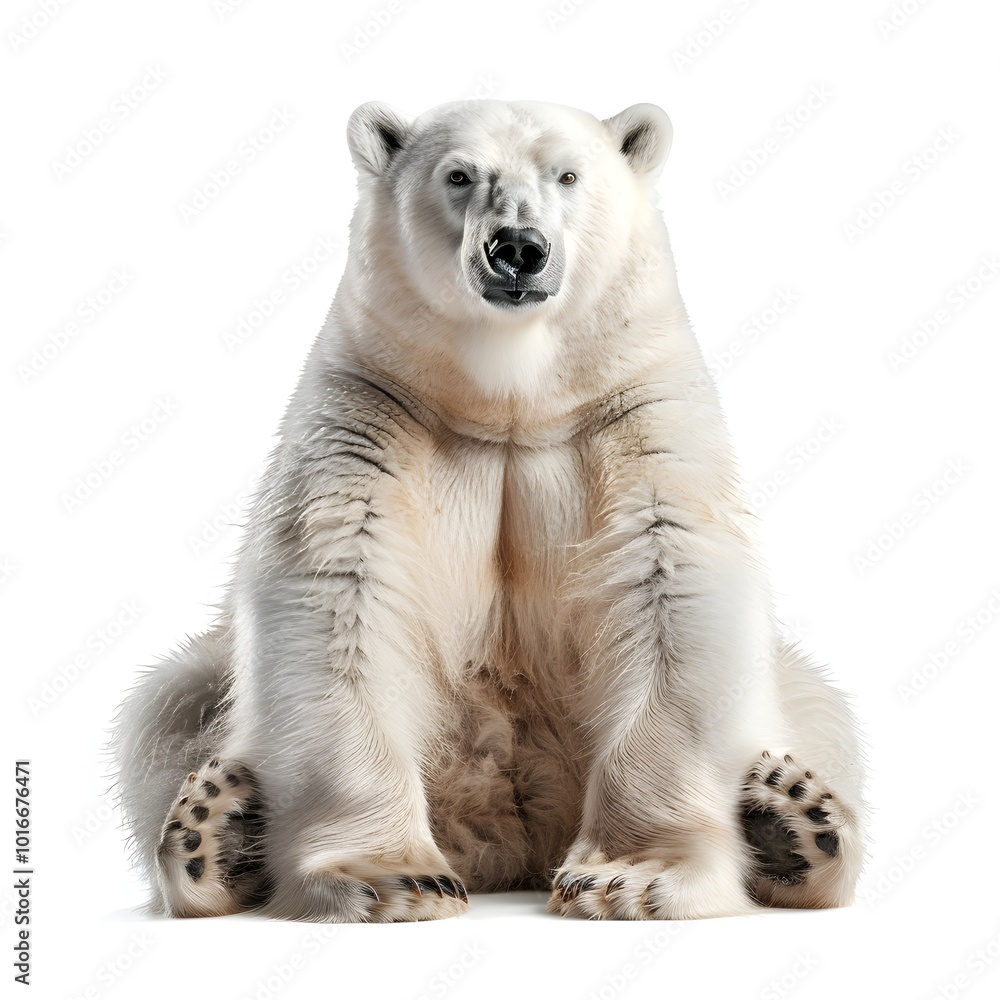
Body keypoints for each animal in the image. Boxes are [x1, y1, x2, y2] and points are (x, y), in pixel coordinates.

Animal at [112, 99, 866, 921]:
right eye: (459, 175)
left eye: (568, 174)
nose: (517, 249)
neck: (509, 399)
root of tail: (505, 834)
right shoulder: (372, 406)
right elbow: (340, 592)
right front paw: (392, 878)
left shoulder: (636, 408)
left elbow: (672, 585)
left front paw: (630, 878)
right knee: (167, 703)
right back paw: (214, 829)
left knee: (820, 707)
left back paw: (794, 821)